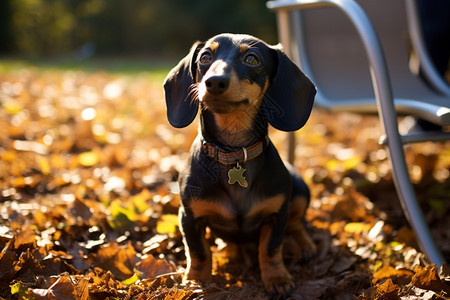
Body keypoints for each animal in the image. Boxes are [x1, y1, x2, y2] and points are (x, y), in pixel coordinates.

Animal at [164, 33, 316, 298]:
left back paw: (304, 244)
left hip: (299, 192)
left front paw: (277, 279)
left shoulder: (277, 214)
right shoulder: (189, 217)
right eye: (205, 57)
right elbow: (198, 252)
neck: (233, 152)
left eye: (252, 58)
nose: (214, 82)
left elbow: (270, 249)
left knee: (297, 222)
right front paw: (196, 281)